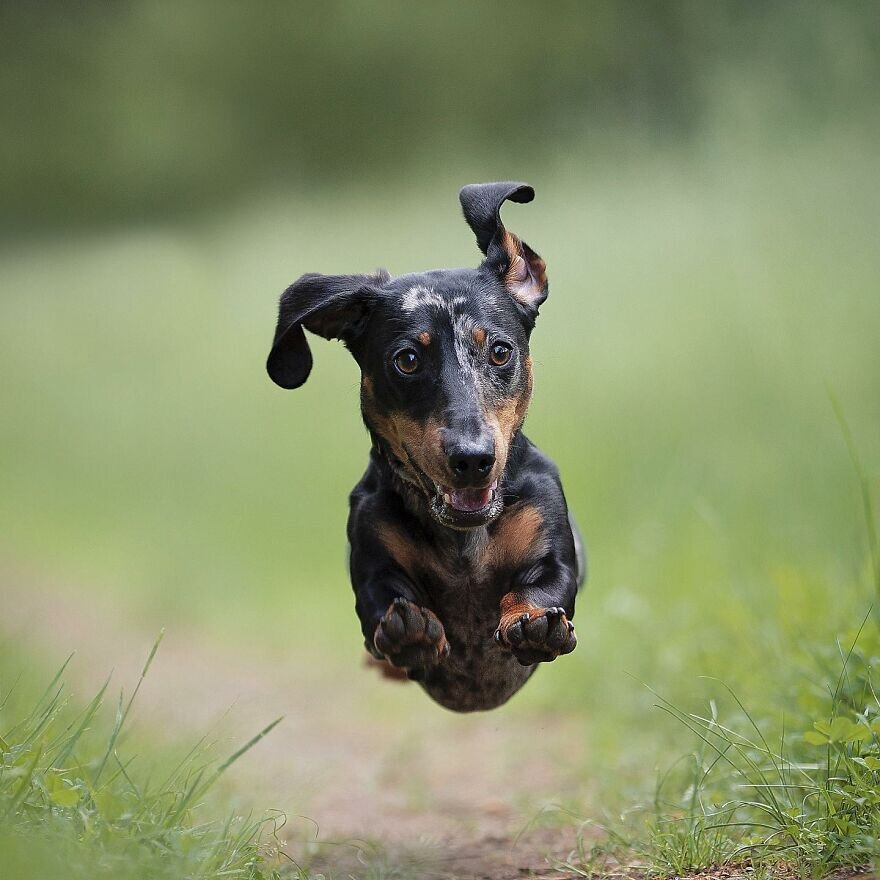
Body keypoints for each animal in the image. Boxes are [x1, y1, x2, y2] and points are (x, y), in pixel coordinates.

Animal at [268, 182, 584, 712]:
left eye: (500, 351)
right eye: (408, 360)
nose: (472, 460)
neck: (463, 541)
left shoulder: (551, 544)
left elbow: (547, 585)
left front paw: (531, 621)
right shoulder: (373, 556)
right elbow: (383, 597)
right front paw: (409, 630)